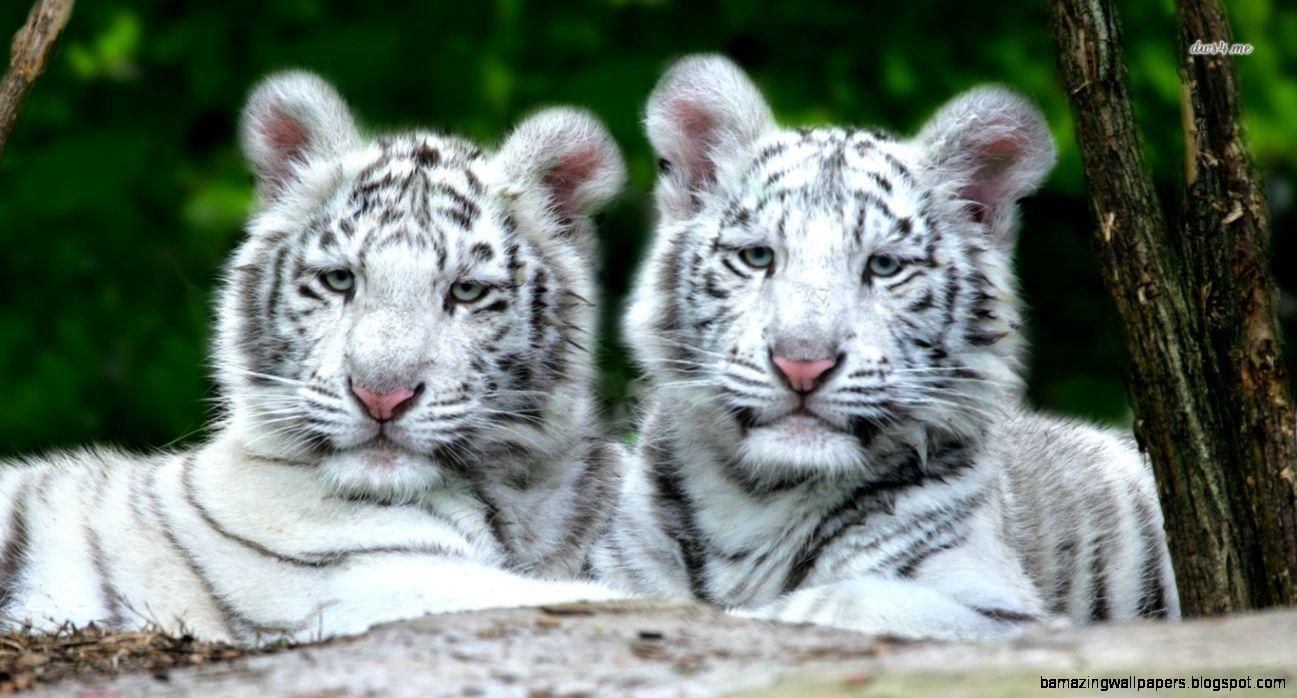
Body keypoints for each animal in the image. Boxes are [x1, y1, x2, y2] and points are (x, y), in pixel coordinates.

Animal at [591, 55, 1179, 640]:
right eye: (758, 257)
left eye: (884, 265)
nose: (802, 364)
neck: (757, 500)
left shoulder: (1003, 613)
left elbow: (838, 600)